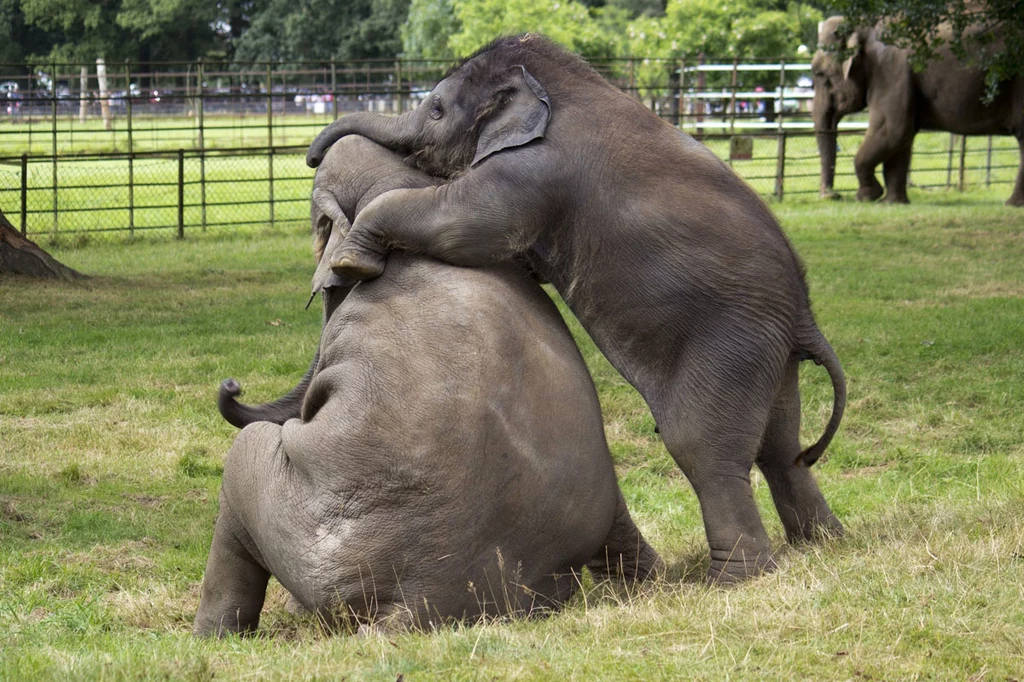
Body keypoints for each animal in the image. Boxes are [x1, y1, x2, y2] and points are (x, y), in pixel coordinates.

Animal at [303, 34, 847, 581]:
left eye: (435, 109)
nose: (309, 158)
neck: (549, 81)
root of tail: (805, 317)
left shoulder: (533, 169)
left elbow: (461, 224)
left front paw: (352, 261)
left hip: (730, 346)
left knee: (702, 448)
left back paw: (731, 580)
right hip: (767, 355)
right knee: (781, 449)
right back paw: (822, 543)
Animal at [815, 14, 1024, 202]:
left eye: (820, 74)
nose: (834, 195)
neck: (864, 24)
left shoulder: (891, 70)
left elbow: (892, 130)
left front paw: (866, 196)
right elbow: (901, 138)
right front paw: (892, 203)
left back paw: (1012, 204)